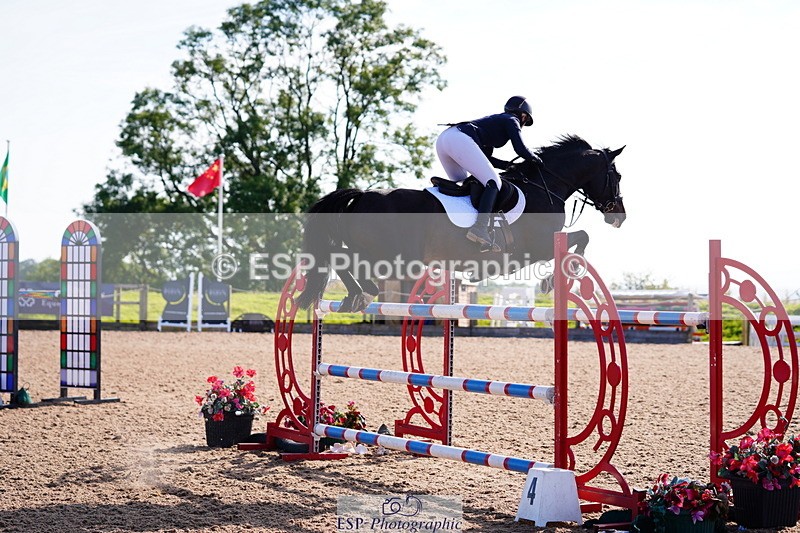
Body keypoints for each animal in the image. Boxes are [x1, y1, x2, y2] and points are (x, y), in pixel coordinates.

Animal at [295, 135, 626, 312]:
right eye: (618, 176)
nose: (618, 216)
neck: (543, 186)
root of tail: (362, 195)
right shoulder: (539, 246)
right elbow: (580, 238)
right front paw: (554, 280)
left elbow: (579, 239)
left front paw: (557, 278)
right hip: (392, 255)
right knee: (341, 257)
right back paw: (362, 293)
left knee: (337, 257)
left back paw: (355, 295)